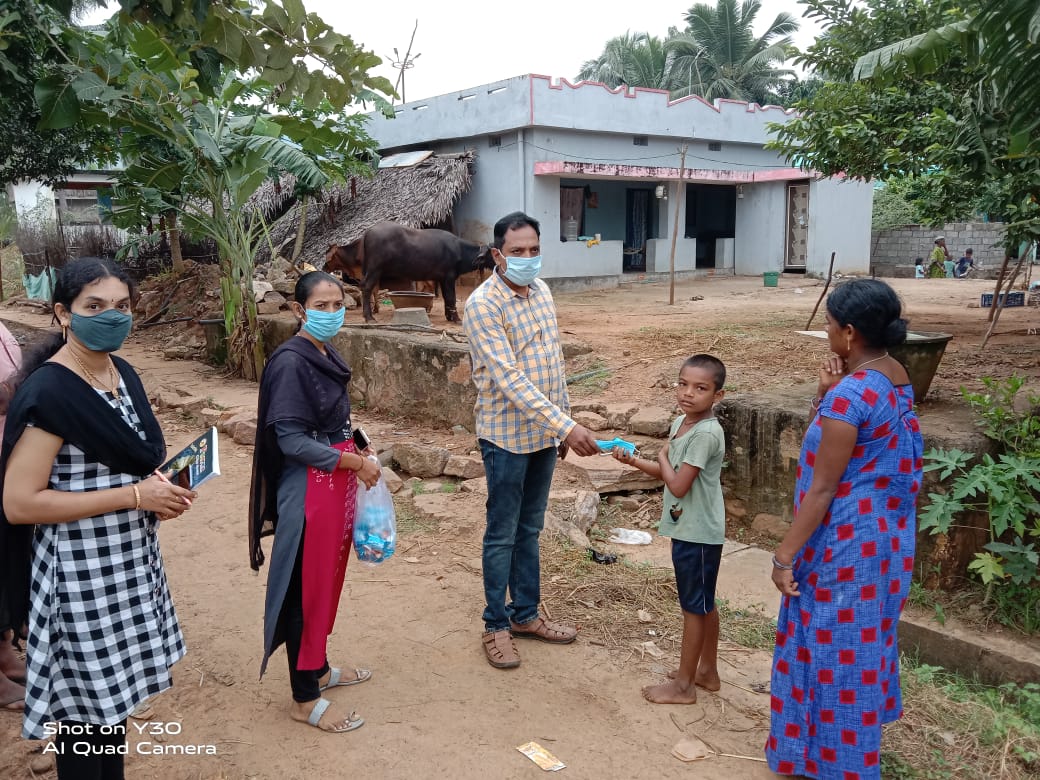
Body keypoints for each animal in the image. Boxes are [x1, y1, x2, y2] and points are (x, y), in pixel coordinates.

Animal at [359, 222, 492, 324]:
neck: (459, 250)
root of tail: (368, 231)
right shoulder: (449, 278)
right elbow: (451, 297)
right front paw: (457, 319)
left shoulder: (442, 279)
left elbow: (446, 298)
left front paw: (449, 316)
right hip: (374, 270)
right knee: (366, 288)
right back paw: (369, 317)